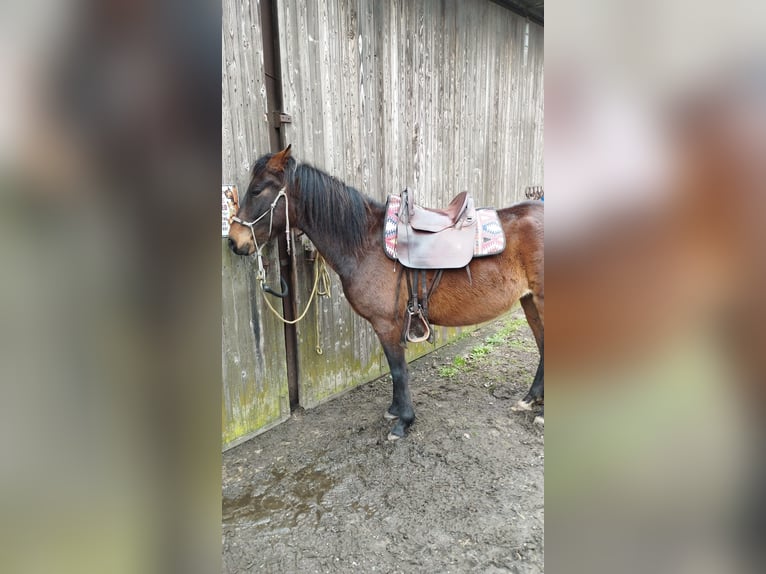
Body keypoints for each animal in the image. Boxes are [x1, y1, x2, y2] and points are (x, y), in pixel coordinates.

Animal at [228, 146, 544, 444]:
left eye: (257, 190)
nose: (234, 241)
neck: (366, 244)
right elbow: (395, 371)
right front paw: (394, 411)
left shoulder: (386, 324)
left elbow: (398, 370)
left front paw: (403, 421)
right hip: (529, 301)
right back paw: (531, 400)